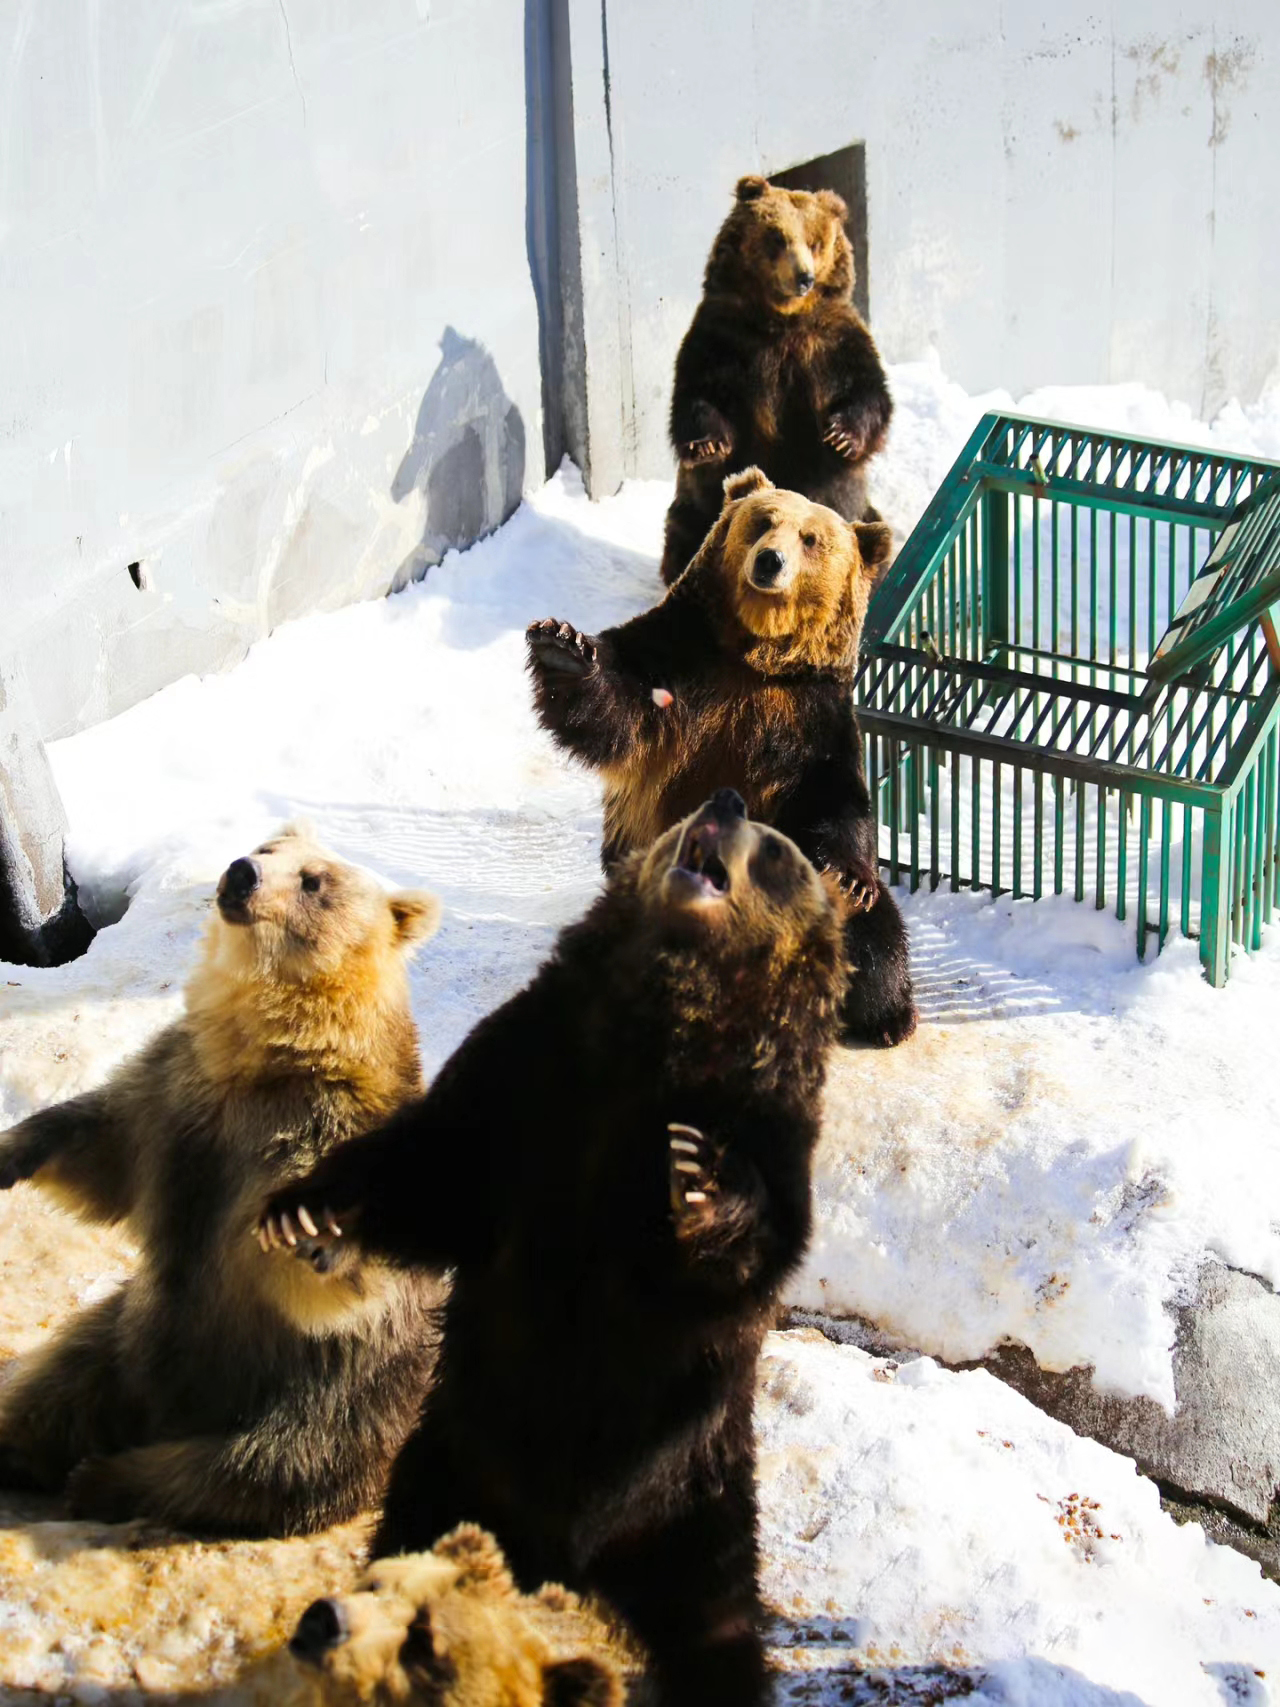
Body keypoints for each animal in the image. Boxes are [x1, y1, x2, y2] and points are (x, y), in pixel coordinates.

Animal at [0, 822, 447, 1536]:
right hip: (123, 1334)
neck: (261, 1058)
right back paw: (22, 1449)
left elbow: (322, 1278)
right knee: (56, 1383)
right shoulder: (176, 1089)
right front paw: (15, 1147)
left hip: (331, 1396)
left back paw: (102, 1479)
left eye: (314, 880)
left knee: (261, 1465)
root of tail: (162, 1414)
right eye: (267, 848)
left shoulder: (314, 1129)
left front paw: (311, 1233)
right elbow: (102, 1145)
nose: (242, 873)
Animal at [532, 471, 921, 1051]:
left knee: (875, 935)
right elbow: (611, 710)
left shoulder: (813, 717)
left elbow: (838, 803)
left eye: (811, 539)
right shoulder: (680, 658)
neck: (756, 656)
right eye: (763, 520)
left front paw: (851, 877)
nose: (770, 561)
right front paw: (562, 645)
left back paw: (887, 1017)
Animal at [662, 174, 894, 587]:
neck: (781, 320)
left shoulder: (829, 344)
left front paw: (841, 435)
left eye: (816, 241)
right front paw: (708, 444)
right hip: (693, 506)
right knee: (684, 528)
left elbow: (867, 393)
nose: (804, 278)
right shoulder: (725, 339)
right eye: (777, 237)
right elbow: (699, 394)